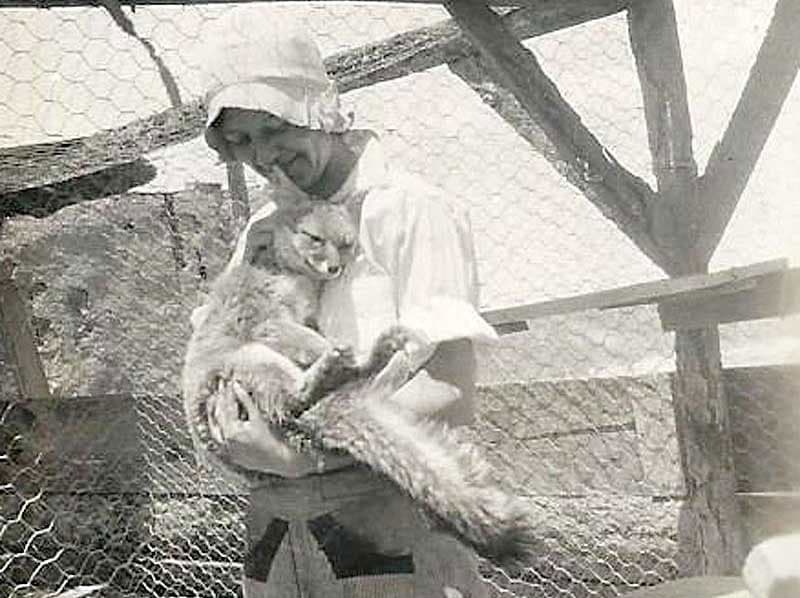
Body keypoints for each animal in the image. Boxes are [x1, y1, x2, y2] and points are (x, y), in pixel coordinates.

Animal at [183, 196, 536, 568]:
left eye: (345, 245)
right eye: (315, 239)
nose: (334, 269)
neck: (287, 275)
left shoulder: (298, 321)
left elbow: (314, 339)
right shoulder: (266, 322)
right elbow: (311, 342)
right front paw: (328, 353)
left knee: (341, 385)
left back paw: (374, 356)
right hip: (256, 358)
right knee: (300, 397)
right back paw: (347, 364)